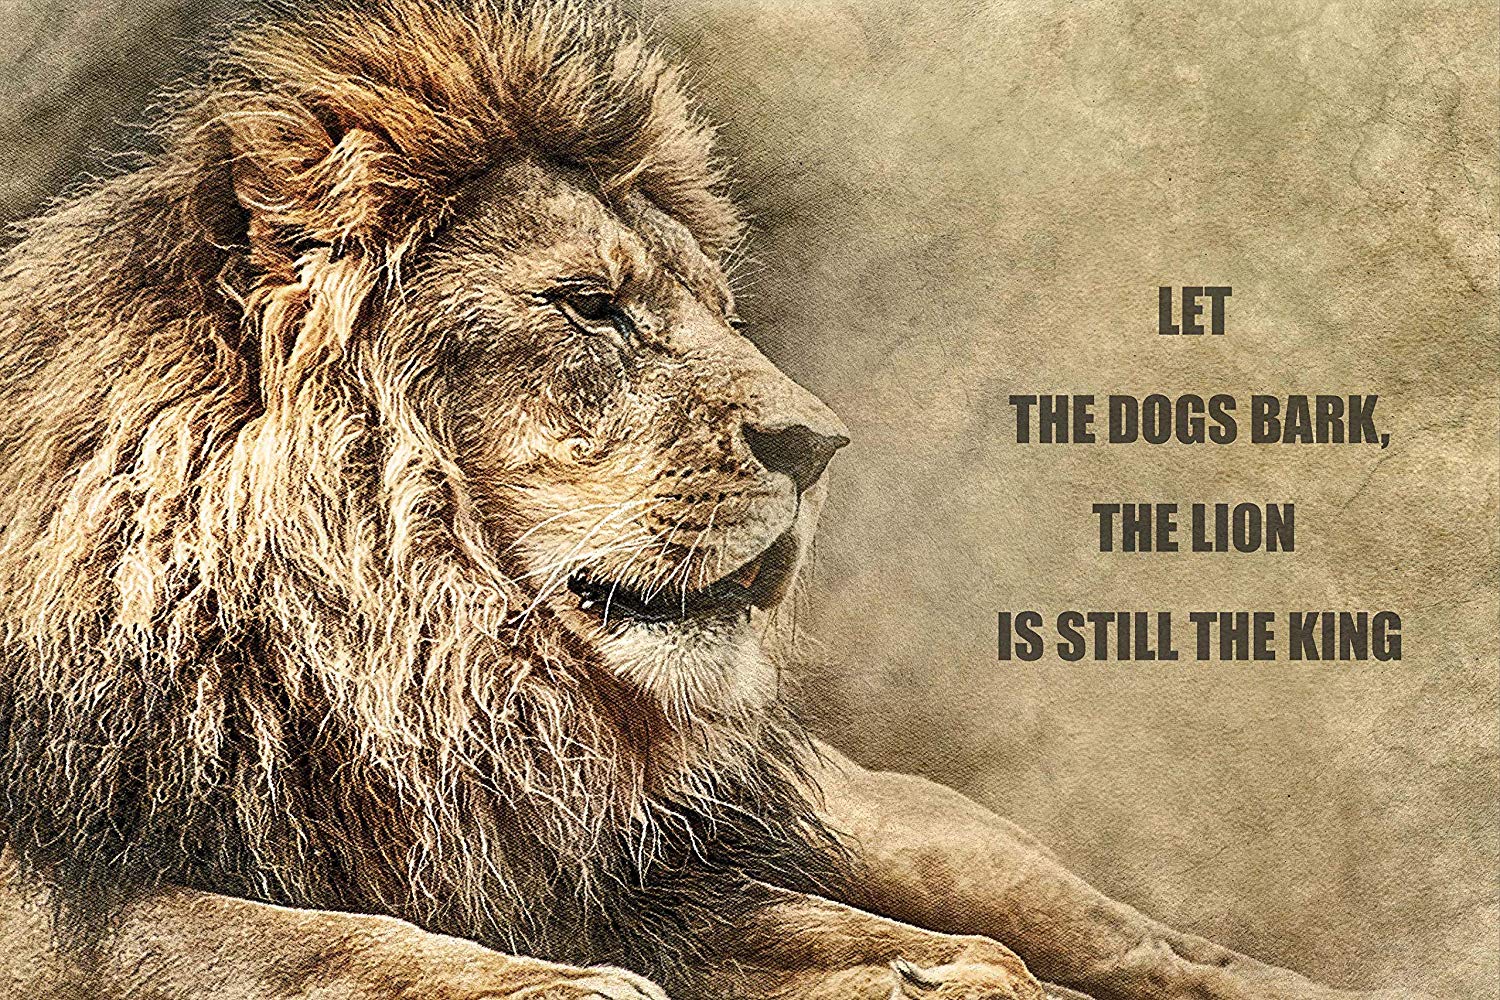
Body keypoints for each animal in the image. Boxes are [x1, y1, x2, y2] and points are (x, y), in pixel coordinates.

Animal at [0, 1, 1423, 999]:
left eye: (719, 310)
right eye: (590, 304)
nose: (820, 443)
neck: (411, 667)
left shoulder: (650, 865)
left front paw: (945, 972)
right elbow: (262, 939)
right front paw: (553, 985)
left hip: (895, 821)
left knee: (1137, 936)